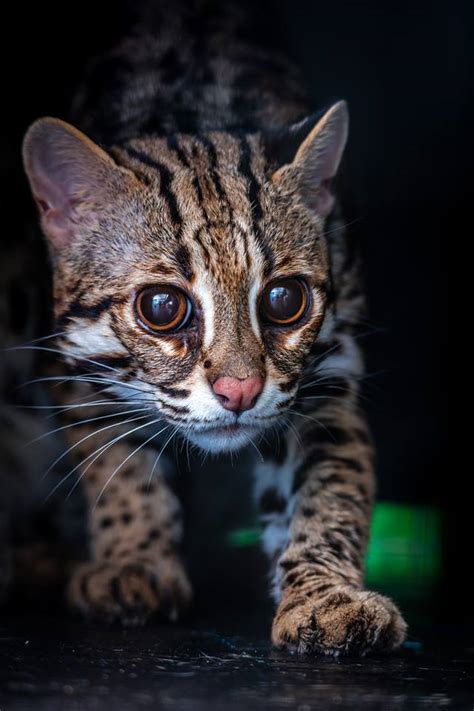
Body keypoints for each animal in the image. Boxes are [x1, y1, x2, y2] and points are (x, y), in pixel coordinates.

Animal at [8, 0, 408, 656]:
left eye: (284, 299)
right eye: (161, 308)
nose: (240, 391)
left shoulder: (330, 369)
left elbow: (332, 482)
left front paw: (326, 595)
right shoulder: (70, 360)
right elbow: (117, 464)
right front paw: (135, 562)